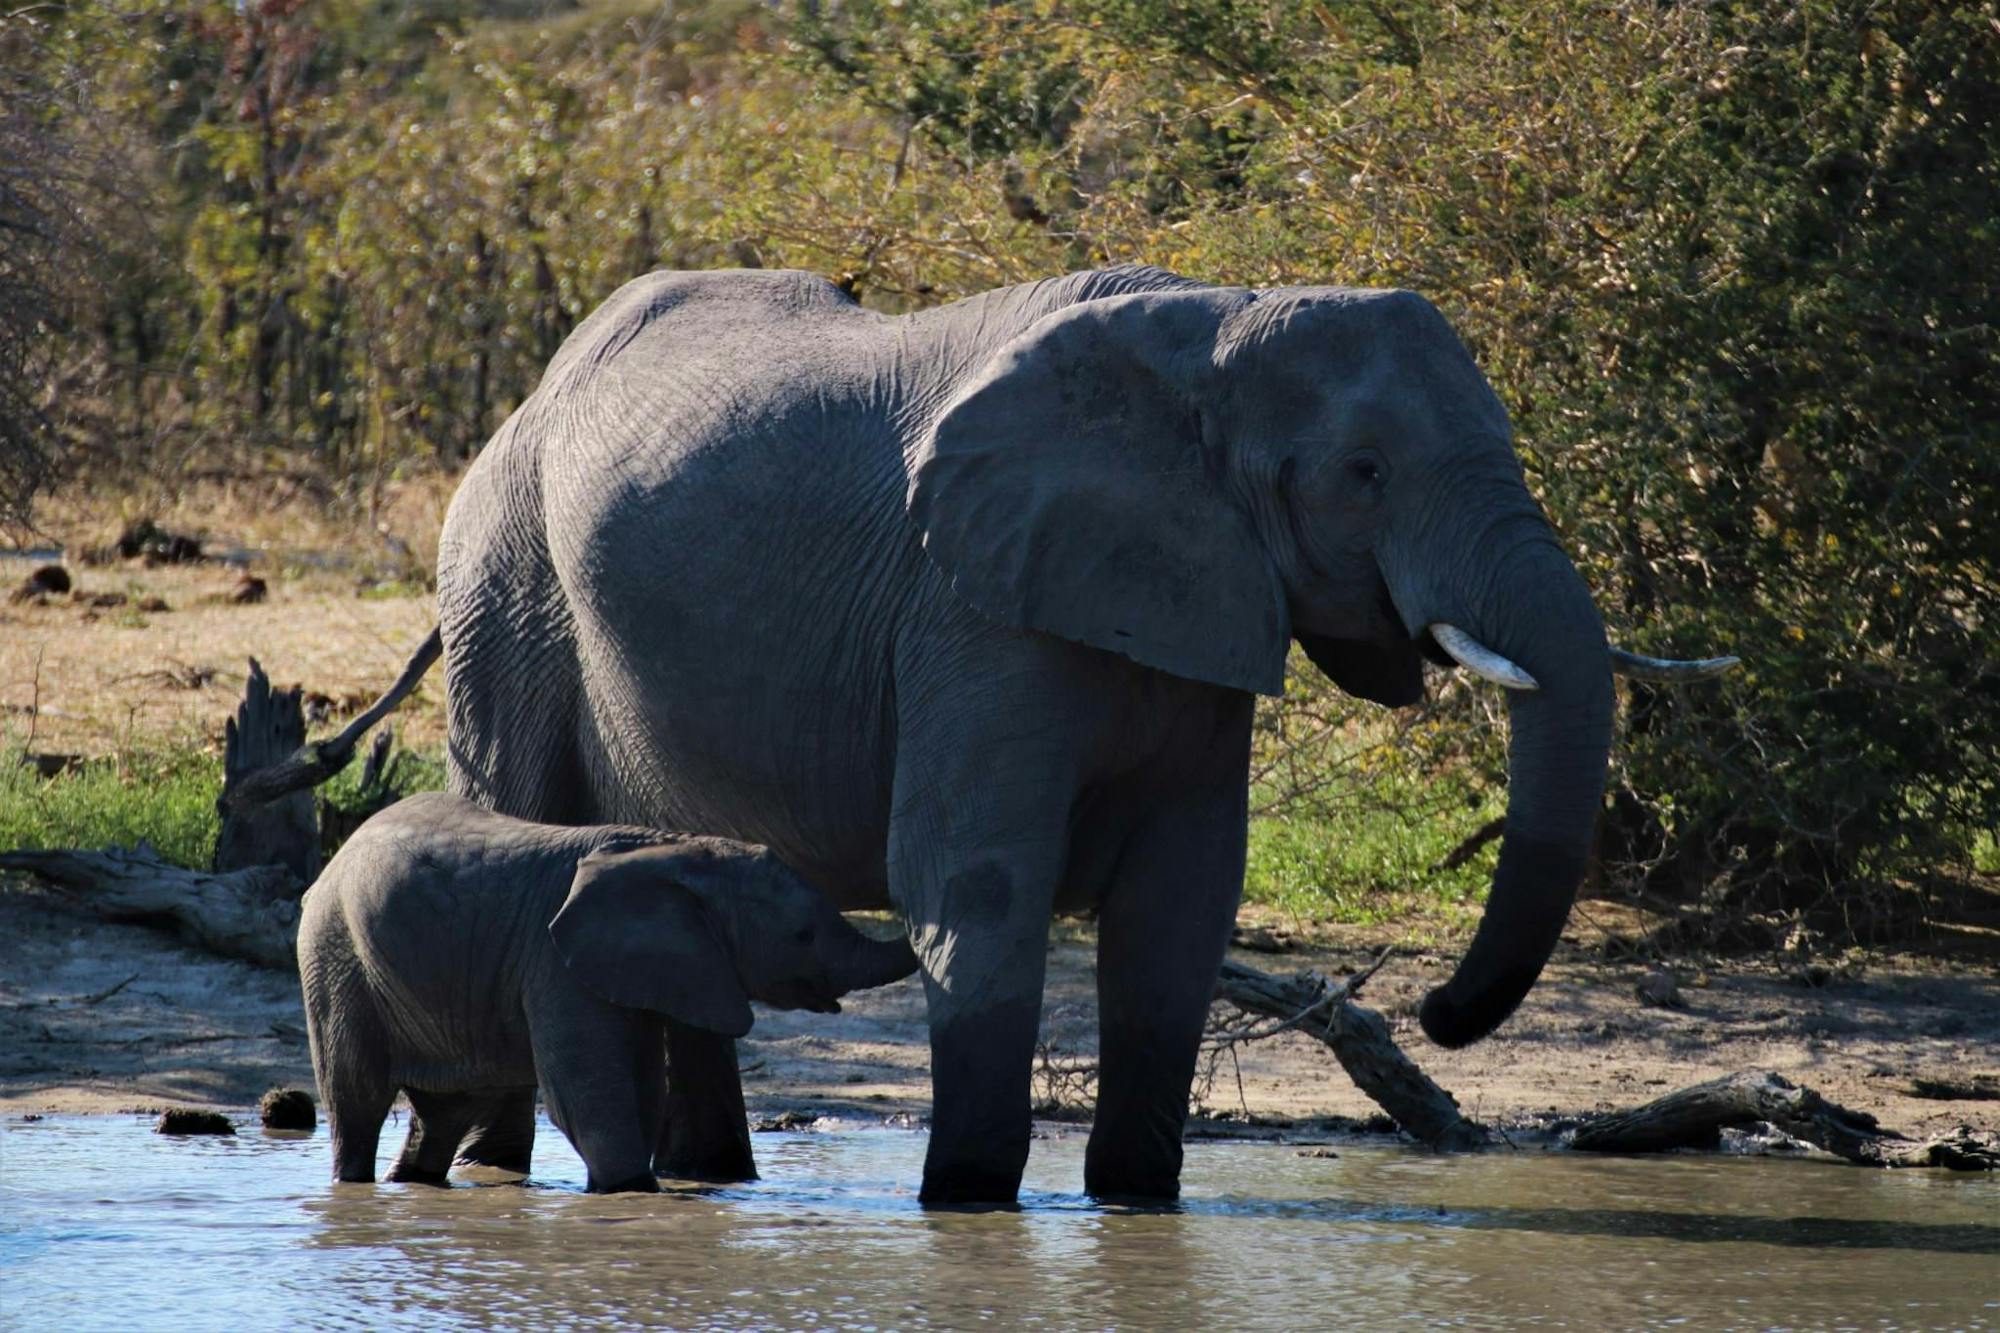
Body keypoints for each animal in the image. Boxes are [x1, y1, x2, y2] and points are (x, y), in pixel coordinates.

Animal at [296, 792, 918, 1192]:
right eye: (802, 935)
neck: (676, 852)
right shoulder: (555, 962)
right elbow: (586, 1092)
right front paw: (633, 1193)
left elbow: (642, 1088)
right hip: (334, 954)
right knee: (358, 1100)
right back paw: (354, 1185)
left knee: (448, 1109)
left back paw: (413, 1183)